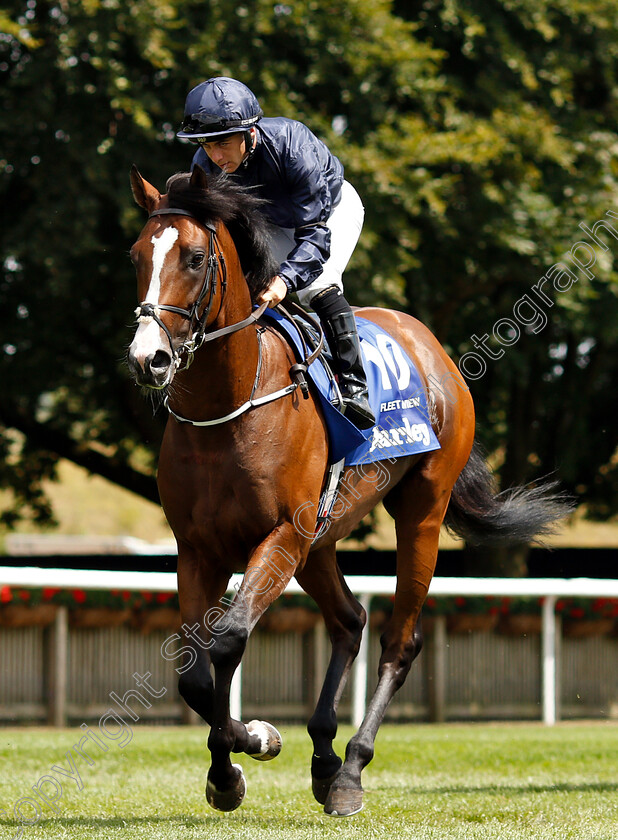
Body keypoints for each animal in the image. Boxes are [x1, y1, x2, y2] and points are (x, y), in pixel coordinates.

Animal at [125, 162, 568, 812]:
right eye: (136, 255)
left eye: (196, 257)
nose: (148, 358)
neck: (229, 407)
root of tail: (429, 345)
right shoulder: (198, 548)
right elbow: (192, 675)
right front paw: (232, 766)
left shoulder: (281, 536)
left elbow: (229, 641)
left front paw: (249, 747)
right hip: (322, 543)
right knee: (349, 621)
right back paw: (324, 757)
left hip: (419, 515)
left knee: (397, 641)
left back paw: (351, 768)